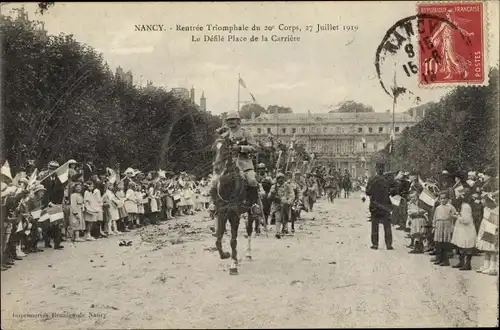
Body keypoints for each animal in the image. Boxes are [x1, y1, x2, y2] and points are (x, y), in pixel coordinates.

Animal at [212, 134, 264, 276]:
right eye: (215, 149)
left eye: (226, 149)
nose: (216, 168)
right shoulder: (222, 213)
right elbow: (219, 238)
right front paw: (225, 255)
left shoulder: (234, 214)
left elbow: (233, 240)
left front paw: (233, 265)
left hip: (251, 212)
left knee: (249, 230)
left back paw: (248, 253)